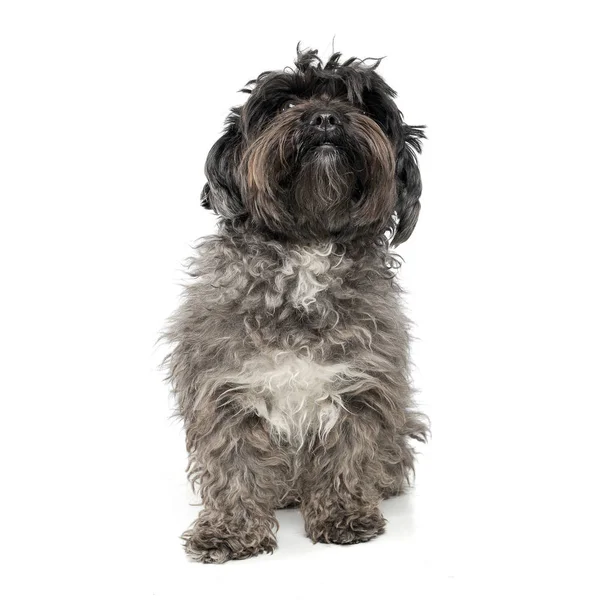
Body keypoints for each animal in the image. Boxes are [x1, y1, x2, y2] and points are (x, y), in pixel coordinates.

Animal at [163, 47, 426, 564]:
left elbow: (349, 452)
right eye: (284, 105)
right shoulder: (223, 387)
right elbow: (233, 463)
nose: (325, 117)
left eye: (360, 104)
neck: (307, 247)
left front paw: (343, 514)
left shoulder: (361, 383)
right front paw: (229, 530)